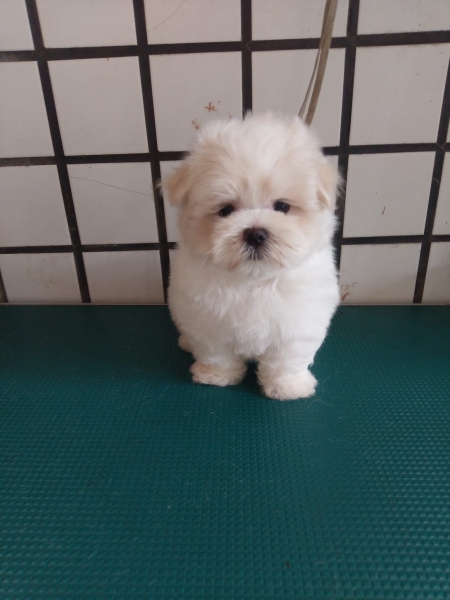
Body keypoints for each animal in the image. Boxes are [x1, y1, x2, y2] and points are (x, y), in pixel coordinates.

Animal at [165, 113, 339, 400]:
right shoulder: (207, 322)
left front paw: (287, 386)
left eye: (282, 206)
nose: (255, 233)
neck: (253, 281)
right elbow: (217, 353)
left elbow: (287, 358)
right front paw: (217, 376)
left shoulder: (298, 323)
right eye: (226, 210)